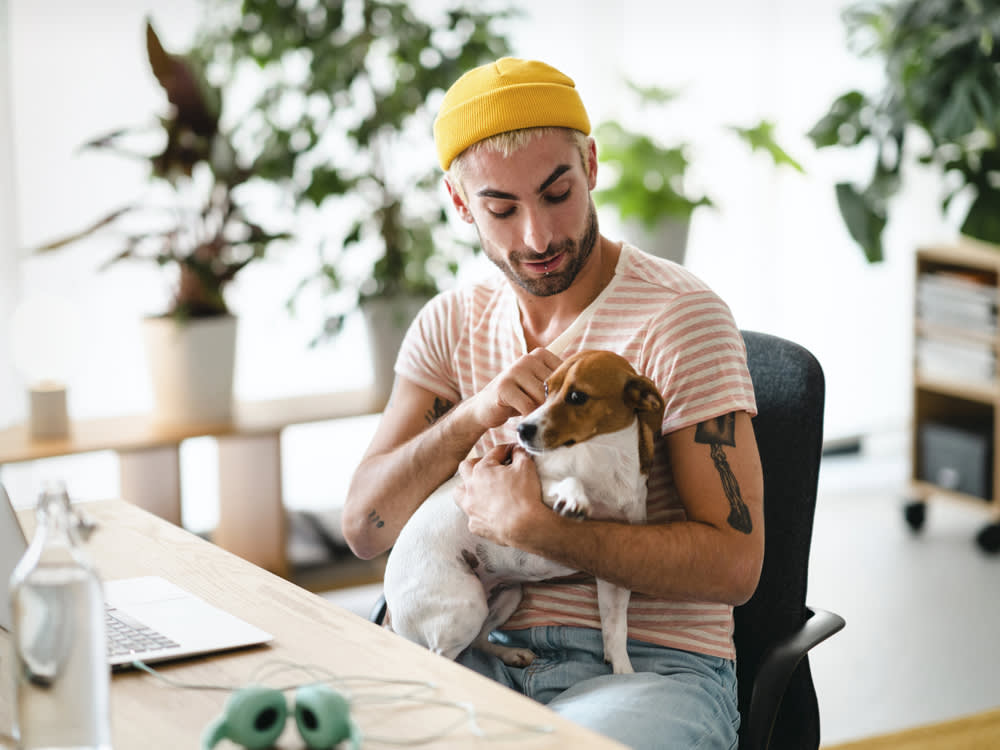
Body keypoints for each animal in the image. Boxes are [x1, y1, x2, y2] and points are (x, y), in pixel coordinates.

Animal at [382, 352, 664, 676]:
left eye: (577, 396)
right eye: (546, 388)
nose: (521, 430)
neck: (605, 460)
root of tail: (392, 619)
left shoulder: (611, 572)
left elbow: (615, 629)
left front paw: (623, 670)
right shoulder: (534, 484)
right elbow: (567, 480)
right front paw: (574, 497)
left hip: (508, 594)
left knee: (479, 639)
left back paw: (510, 653)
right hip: (466, 603)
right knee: (442, 654)